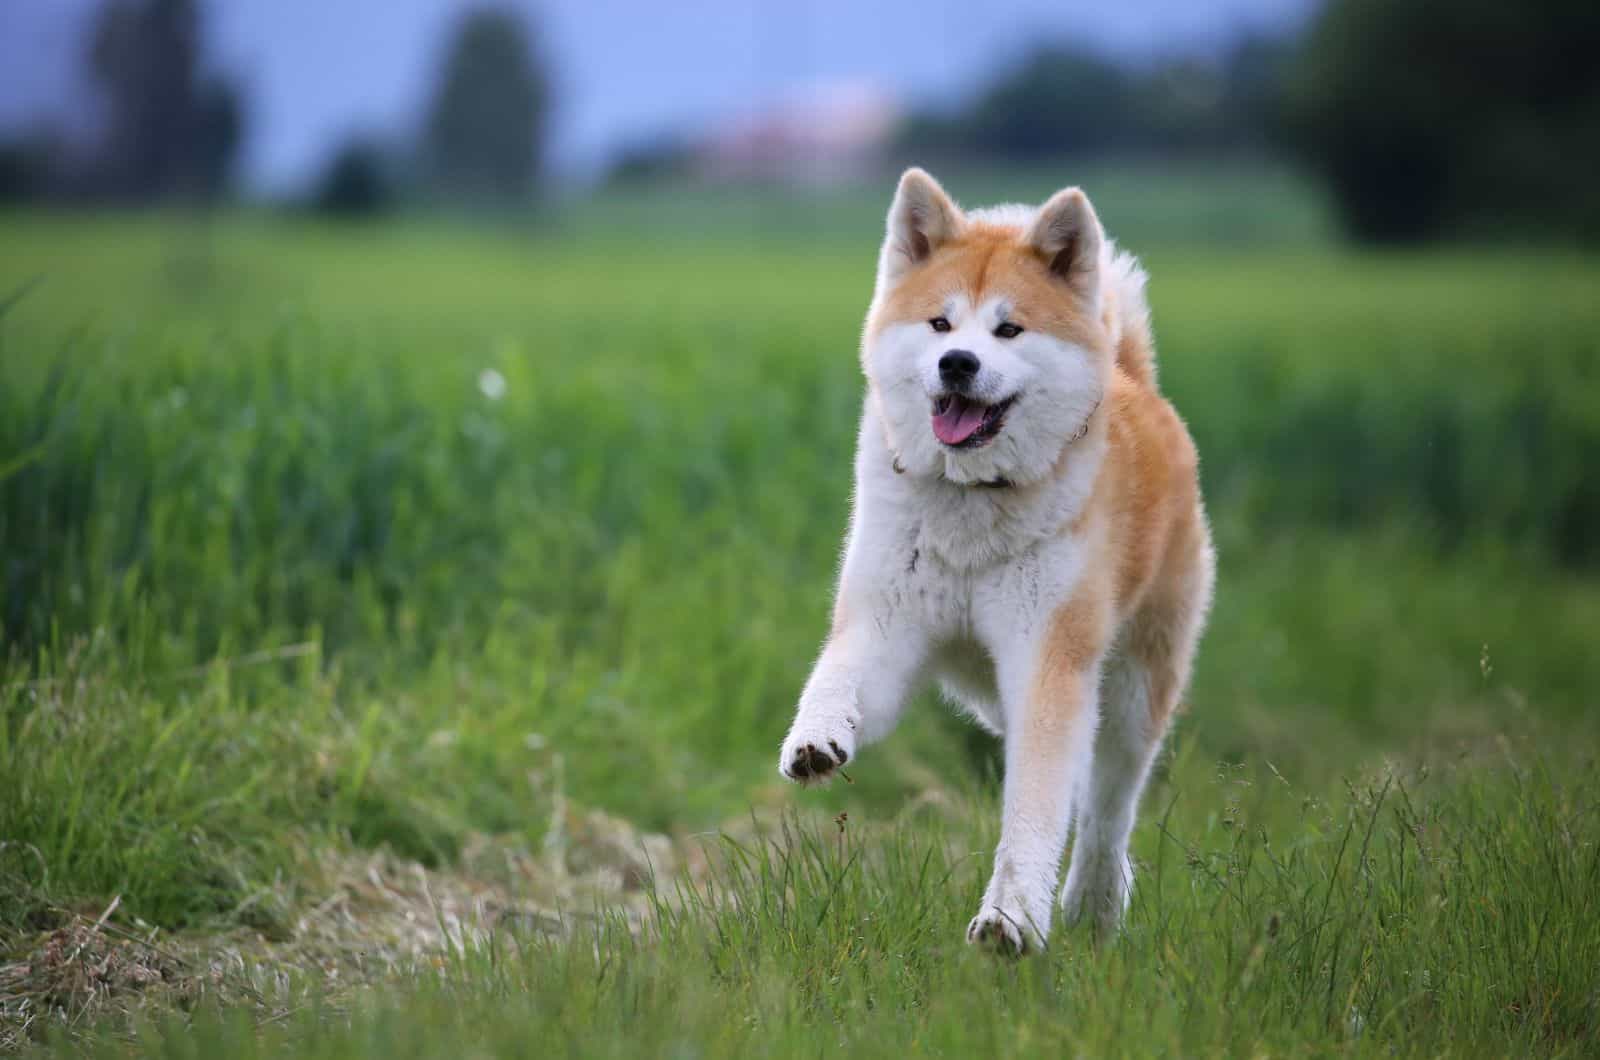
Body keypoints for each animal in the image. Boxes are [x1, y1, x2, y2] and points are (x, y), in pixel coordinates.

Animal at [777, 168, 1209, 954]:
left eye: (1009, 329)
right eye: (940, 325)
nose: (958, 363)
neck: (970, 508)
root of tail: (1134, 377)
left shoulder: (1047, 662)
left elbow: (1035, 809)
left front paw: (1011, 918)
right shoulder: (885, 627)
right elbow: (837, 678)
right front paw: (816, 737)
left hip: (1135, 689)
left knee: (1108, 806)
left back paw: (1095, 901)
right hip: (993, 693)